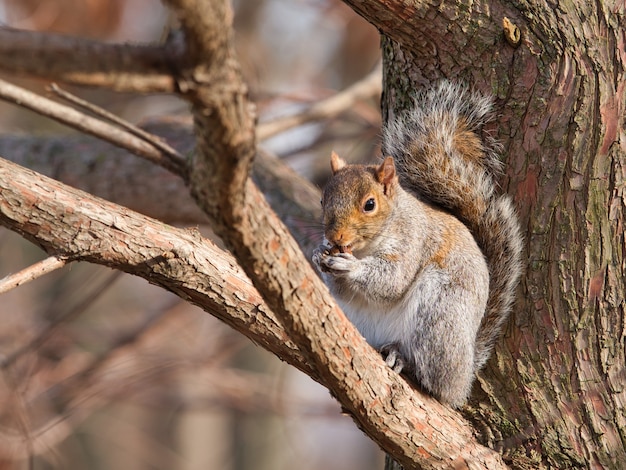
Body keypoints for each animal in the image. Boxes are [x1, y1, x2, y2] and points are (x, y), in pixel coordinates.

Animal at [312, 81, 520, 408]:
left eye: (369, 204)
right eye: (323, 201)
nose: (335, 238)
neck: (367, 247)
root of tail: (464, 375)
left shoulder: (414, 240)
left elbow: (392, 280)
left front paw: (350, 266)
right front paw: (319, 256)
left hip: (438, 316)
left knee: (435, 380)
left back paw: (404, 360)